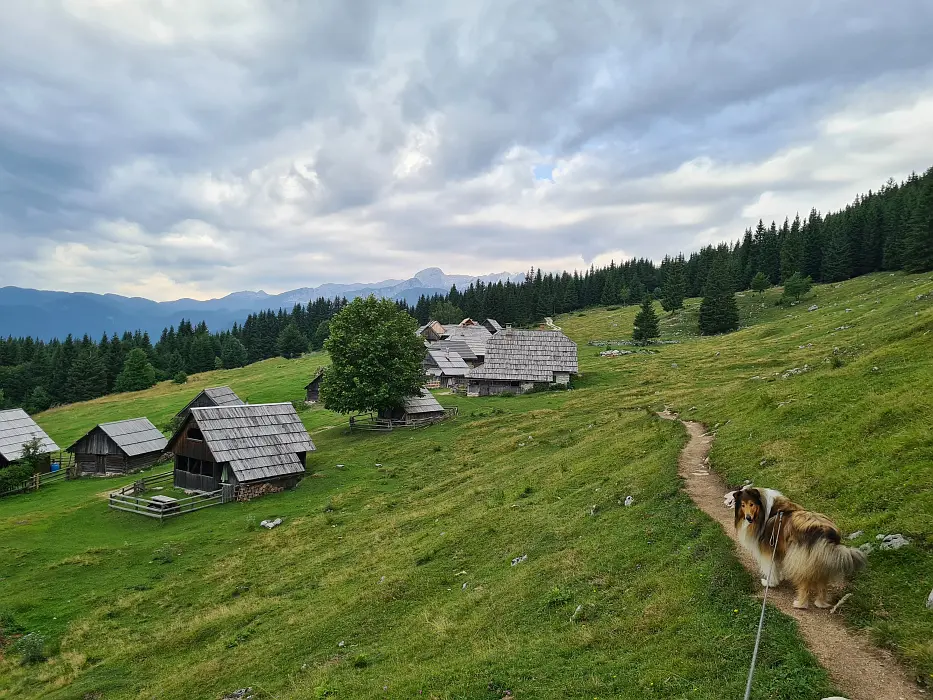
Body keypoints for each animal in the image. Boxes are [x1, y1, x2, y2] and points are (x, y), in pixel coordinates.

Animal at [728, 486, 868, 608]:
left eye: (751, 504)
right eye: (743, 505)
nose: (748, 518)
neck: (765, 509)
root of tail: (825, 532)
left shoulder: (768, 548)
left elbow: (770, 568)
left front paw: (770, 583)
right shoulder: (778, 548)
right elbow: (777, 565)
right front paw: (780, 577)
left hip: (801, 560)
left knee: (805, 583)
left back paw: (800, 604)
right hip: (820, 559)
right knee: (822, 583)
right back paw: (820, 603)